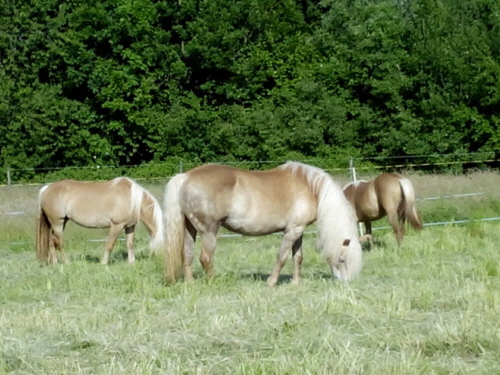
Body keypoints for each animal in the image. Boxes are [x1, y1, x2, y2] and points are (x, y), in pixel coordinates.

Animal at [35, 178, 164, 266]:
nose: (160, 262)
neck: (131, 199)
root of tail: (46, 189)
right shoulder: (117, 225)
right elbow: (110, 245)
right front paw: (104, 263)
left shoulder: (130, 226)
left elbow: (130, 244)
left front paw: (131, 262)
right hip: (58, 223)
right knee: (59, 242)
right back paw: (67, 262)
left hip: (60, 223)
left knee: (51, 241)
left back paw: (55, 263)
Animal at [164, 162, 364, 288]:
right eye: (343, 259)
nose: (346, 282)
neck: (310, 187)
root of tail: (185, 176)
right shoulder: (292, 231)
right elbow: (282, 257)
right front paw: (271, 283)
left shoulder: (298, 230)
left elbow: (298, 257)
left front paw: (295, 282)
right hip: (209, 231)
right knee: (205, 258)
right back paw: (214, 282)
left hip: (190, 229)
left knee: (188, 255)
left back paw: (190, 283)